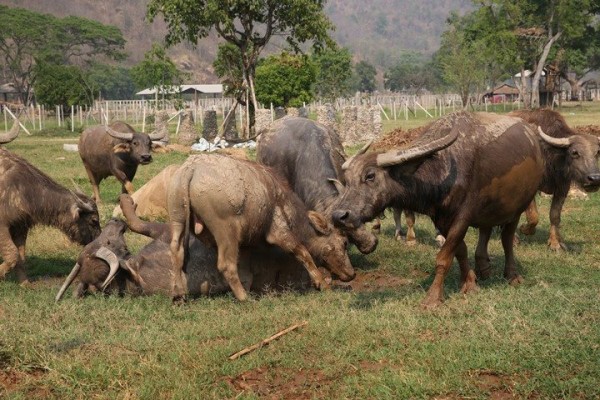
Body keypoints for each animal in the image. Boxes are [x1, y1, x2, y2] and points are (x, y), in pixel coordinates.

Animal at [168, 153, 356, 300]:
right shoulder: (280, 233)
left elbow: (244, 268)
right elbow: (303, 253)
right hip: (226, 231)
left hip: (178, 220)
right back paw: (243, 297)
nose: (352, 274)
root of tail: (192, 168)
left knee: (177, 251)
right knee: (225, 264)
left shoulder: (245, 245)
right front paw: (322, 284)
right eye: (344, 242)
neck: (280, 199)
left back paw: (178, 294)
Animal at [506, 108, 600, 250]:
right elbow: (534, 216)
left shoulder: (562, 187)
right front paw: (524, 229)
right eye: (574, 152)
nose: (594, 179)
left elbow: (555, 215)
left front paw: (556, 243)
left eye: (597, 153)